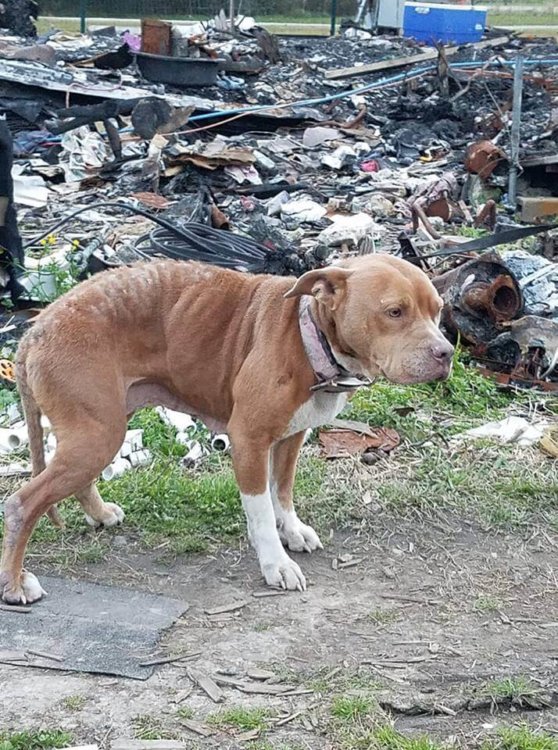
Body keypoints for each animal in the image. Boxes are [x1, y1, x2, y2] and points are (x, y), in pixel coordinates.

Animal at [0, 254, 452, 604]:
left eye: (438, 310)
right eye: (394, 311)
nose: (446, 352)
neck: (308, 335)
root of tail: (34, 329)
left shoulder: (290, 438)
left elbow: (281, 492)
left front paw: (292, 530)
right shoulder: (249, 440)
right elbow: (261, 509)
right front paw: (275, 564)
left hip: (101, 427)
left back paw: (99, 514)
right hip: (98, 434)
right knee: (23, 502)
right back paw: (16, 584)